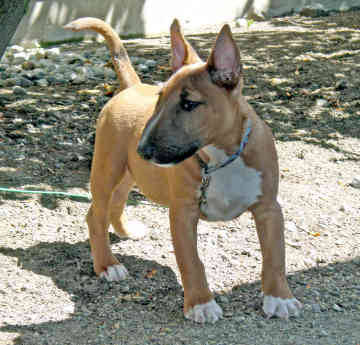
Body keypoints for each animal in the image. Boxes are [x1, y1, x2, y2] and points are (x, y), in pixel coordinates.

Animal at [64, 16, 300, 322]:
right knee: (95, 216)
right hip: (107, 169)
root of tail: (130, 87)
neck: (222, 157)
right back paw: (107, 264)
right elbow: (191, 261)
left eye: (189, 104)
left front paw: (279, 298)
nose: (143, 150)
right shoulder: (182, 213)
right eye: (159, 99)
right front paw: (201, 303)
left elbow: (275, 256)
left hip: (129, 173)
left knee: (117, 202)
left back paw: (125, 231)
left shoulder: (269, 208)